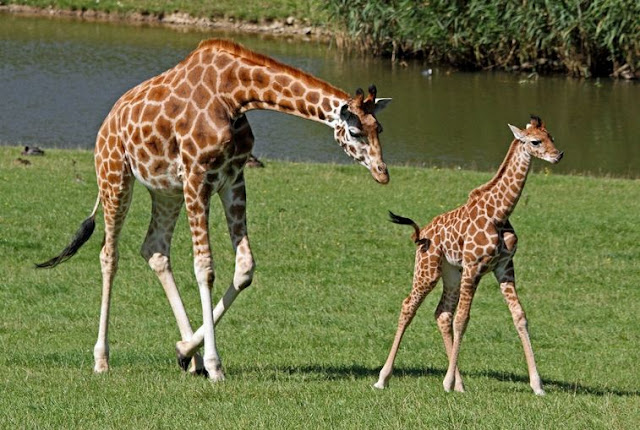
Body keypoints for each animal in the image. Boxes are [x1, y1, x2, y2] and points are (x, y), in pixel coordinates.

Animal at [40, 38, 392, 382]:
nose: (382, 173)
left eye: (379, 128)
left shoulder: (232, 178)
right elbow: (204, 267)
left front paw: (184, 350)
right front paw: (214, 364)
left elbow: (245, 268)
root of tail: (107, 121)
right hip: (115, 175)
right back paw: (102, 360)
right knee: (109, 255)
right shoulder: (198, 176)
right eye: (355, 132)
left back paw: (189, 358)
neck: (234, 96)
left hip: (166, 190)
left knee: (155, 249)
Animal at [372, 116, 564, 394]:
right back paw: (383, 378)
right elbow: (463, 319)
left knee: (442, 313)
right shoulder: (474, 266)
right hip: (428, 269)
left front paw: (537, 385)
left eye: (551, 136)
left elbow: (519, 316)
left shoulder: (504, 266)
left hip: (452, 272)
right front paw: (446, 382)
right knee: (409, 306)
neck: (499, 213)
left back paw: (459, 384)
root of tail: (421, 233)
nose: (557, 155)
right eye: (535, 141)